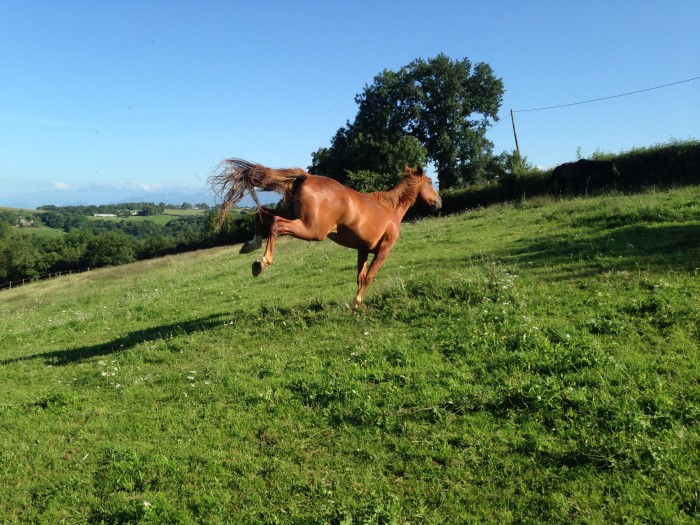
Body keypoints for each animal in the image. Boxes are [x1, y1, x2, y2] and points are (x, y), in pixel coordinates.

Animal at [206, 158, 442, 310]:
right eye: (430, 183)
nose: (439, 202)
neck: (391, 209)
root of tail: (306, 177)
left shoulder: (363, 250)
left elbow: (360, 277)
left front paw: (356, 302)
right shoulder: (383, 250)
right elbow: (369, 278)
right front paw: (357, 304)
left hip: (293, 214)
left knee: (261, 214)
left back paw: (250, 246)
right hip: (312, 229)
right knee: (276, 225)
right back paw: (261, 263)